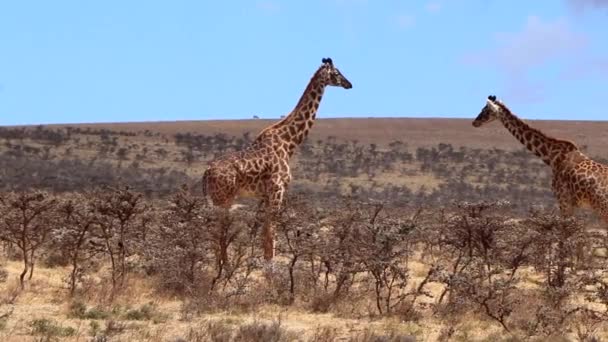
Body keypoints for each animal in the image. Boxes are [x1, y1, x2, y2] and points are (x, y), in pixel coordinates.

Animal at [202, 58, 352, 262]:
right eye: (337, 73)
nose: (349, 84)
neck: (290, 142)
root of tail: (207, 171)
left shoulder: (265, 195)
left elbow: (263, 234)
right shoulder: (277, 190)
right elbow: (270, 234)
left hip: (217, 198)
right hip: (223, 198)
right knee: (219, 233)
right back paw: (225, 267)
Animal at [472, 95, 608, 222]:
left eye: (485, 110)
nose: (474, 122)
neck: (552, 157)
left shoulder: (563, 200)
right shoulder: (571, 204)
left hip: (602, 209)